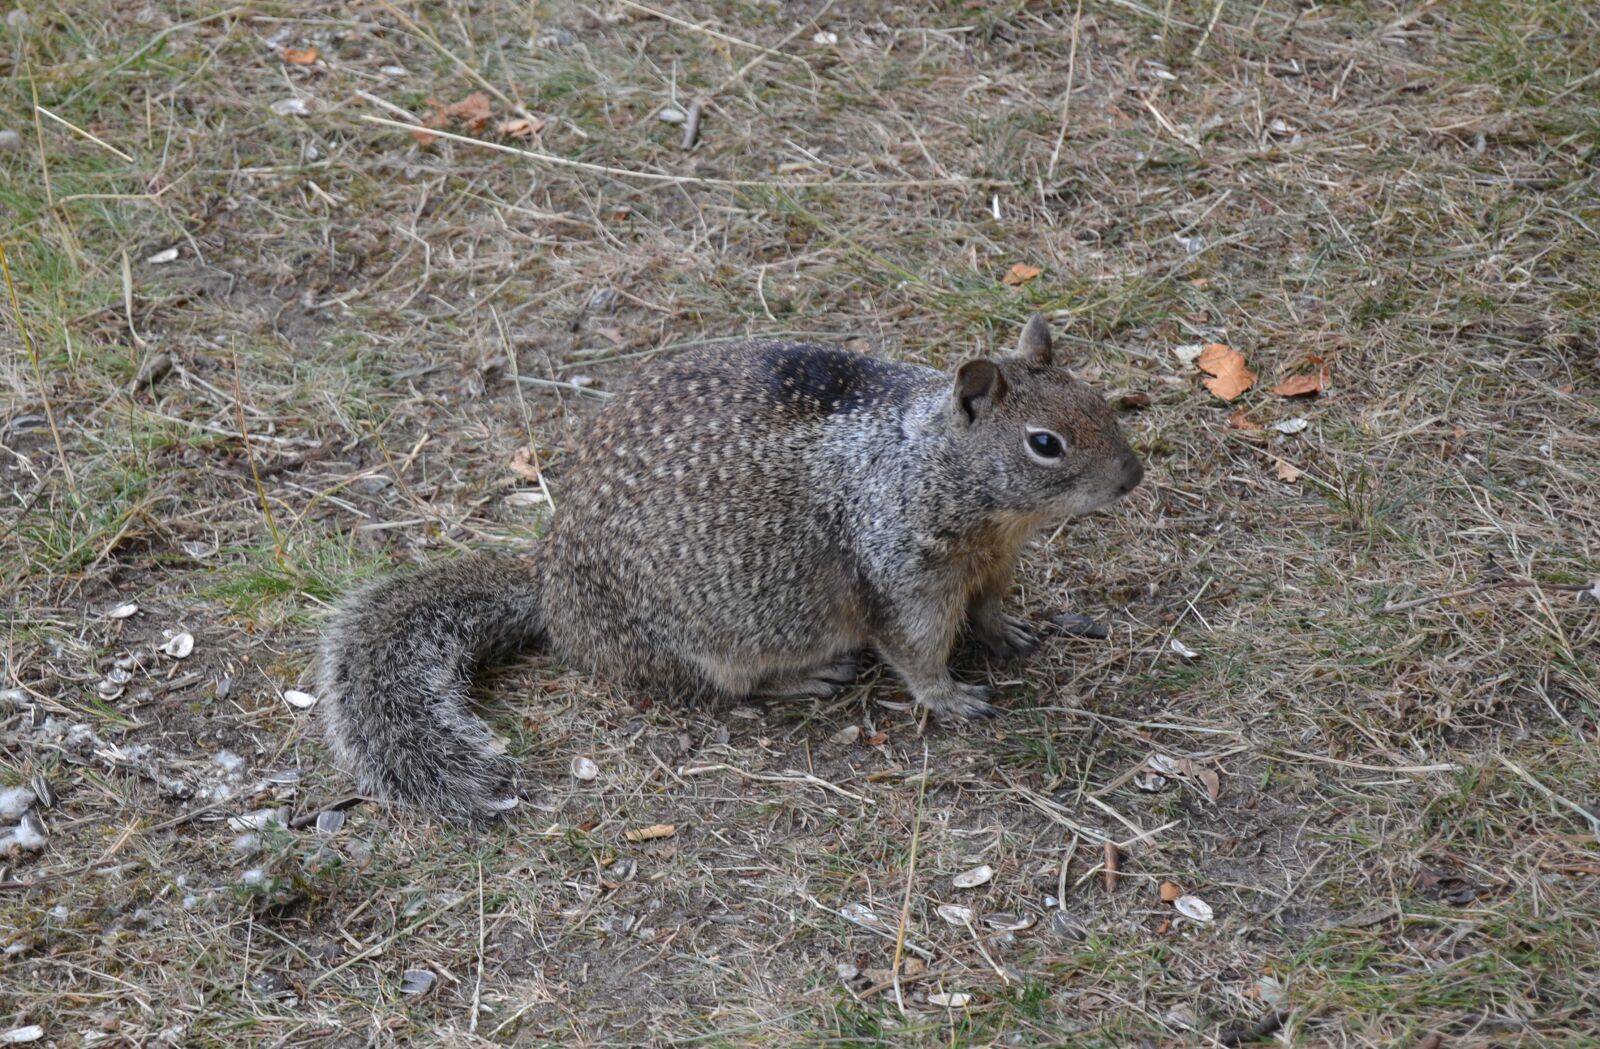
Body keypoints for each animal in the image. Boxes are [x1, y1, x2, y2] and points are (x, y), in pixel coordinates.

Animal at [318, 315, 1144, 820]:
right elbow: (915, 652)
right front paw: (951, 697)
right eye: (1044, 443)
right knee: (730, 686)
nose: (1133, 477)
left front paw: (1011, 633)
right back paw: (808, 676)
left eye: (1100, 400)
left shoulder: (993, 564)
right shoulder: (902, 576)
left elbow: (993, 609)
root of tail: (551, 593)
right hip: (716, 640)